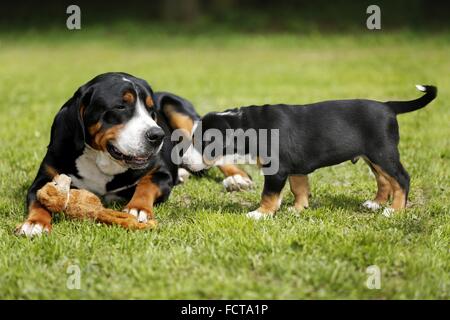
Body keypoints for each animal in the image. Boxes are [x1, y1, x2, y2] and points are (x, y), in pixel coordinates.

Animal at [15, 73, 251, 238]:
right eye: (120, 106)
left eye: (151, 111)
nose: (158, 135)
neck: (102, 161)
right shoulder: (45, 177)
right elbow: (40, 200)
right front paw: (35, 224)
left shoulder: (161, 173)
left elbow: (146, 185)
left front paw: (137, 208)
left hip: (180, 113)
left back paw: (236, 178)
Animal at [179, 84, 436, 219]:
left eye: (202, 142)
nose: (183, 161)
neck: (249, 126)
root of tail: (388, 106)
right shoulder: (296, 167)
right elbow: (299, 188)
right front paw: (298, 208)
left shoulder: (277, 170)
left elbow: (269, 194)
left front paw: (260, 213)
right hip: (372, 156)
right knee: (384, 181)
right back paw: (375, 204)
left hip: (383, 152)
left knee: (401, 178)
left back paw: (395, 210)